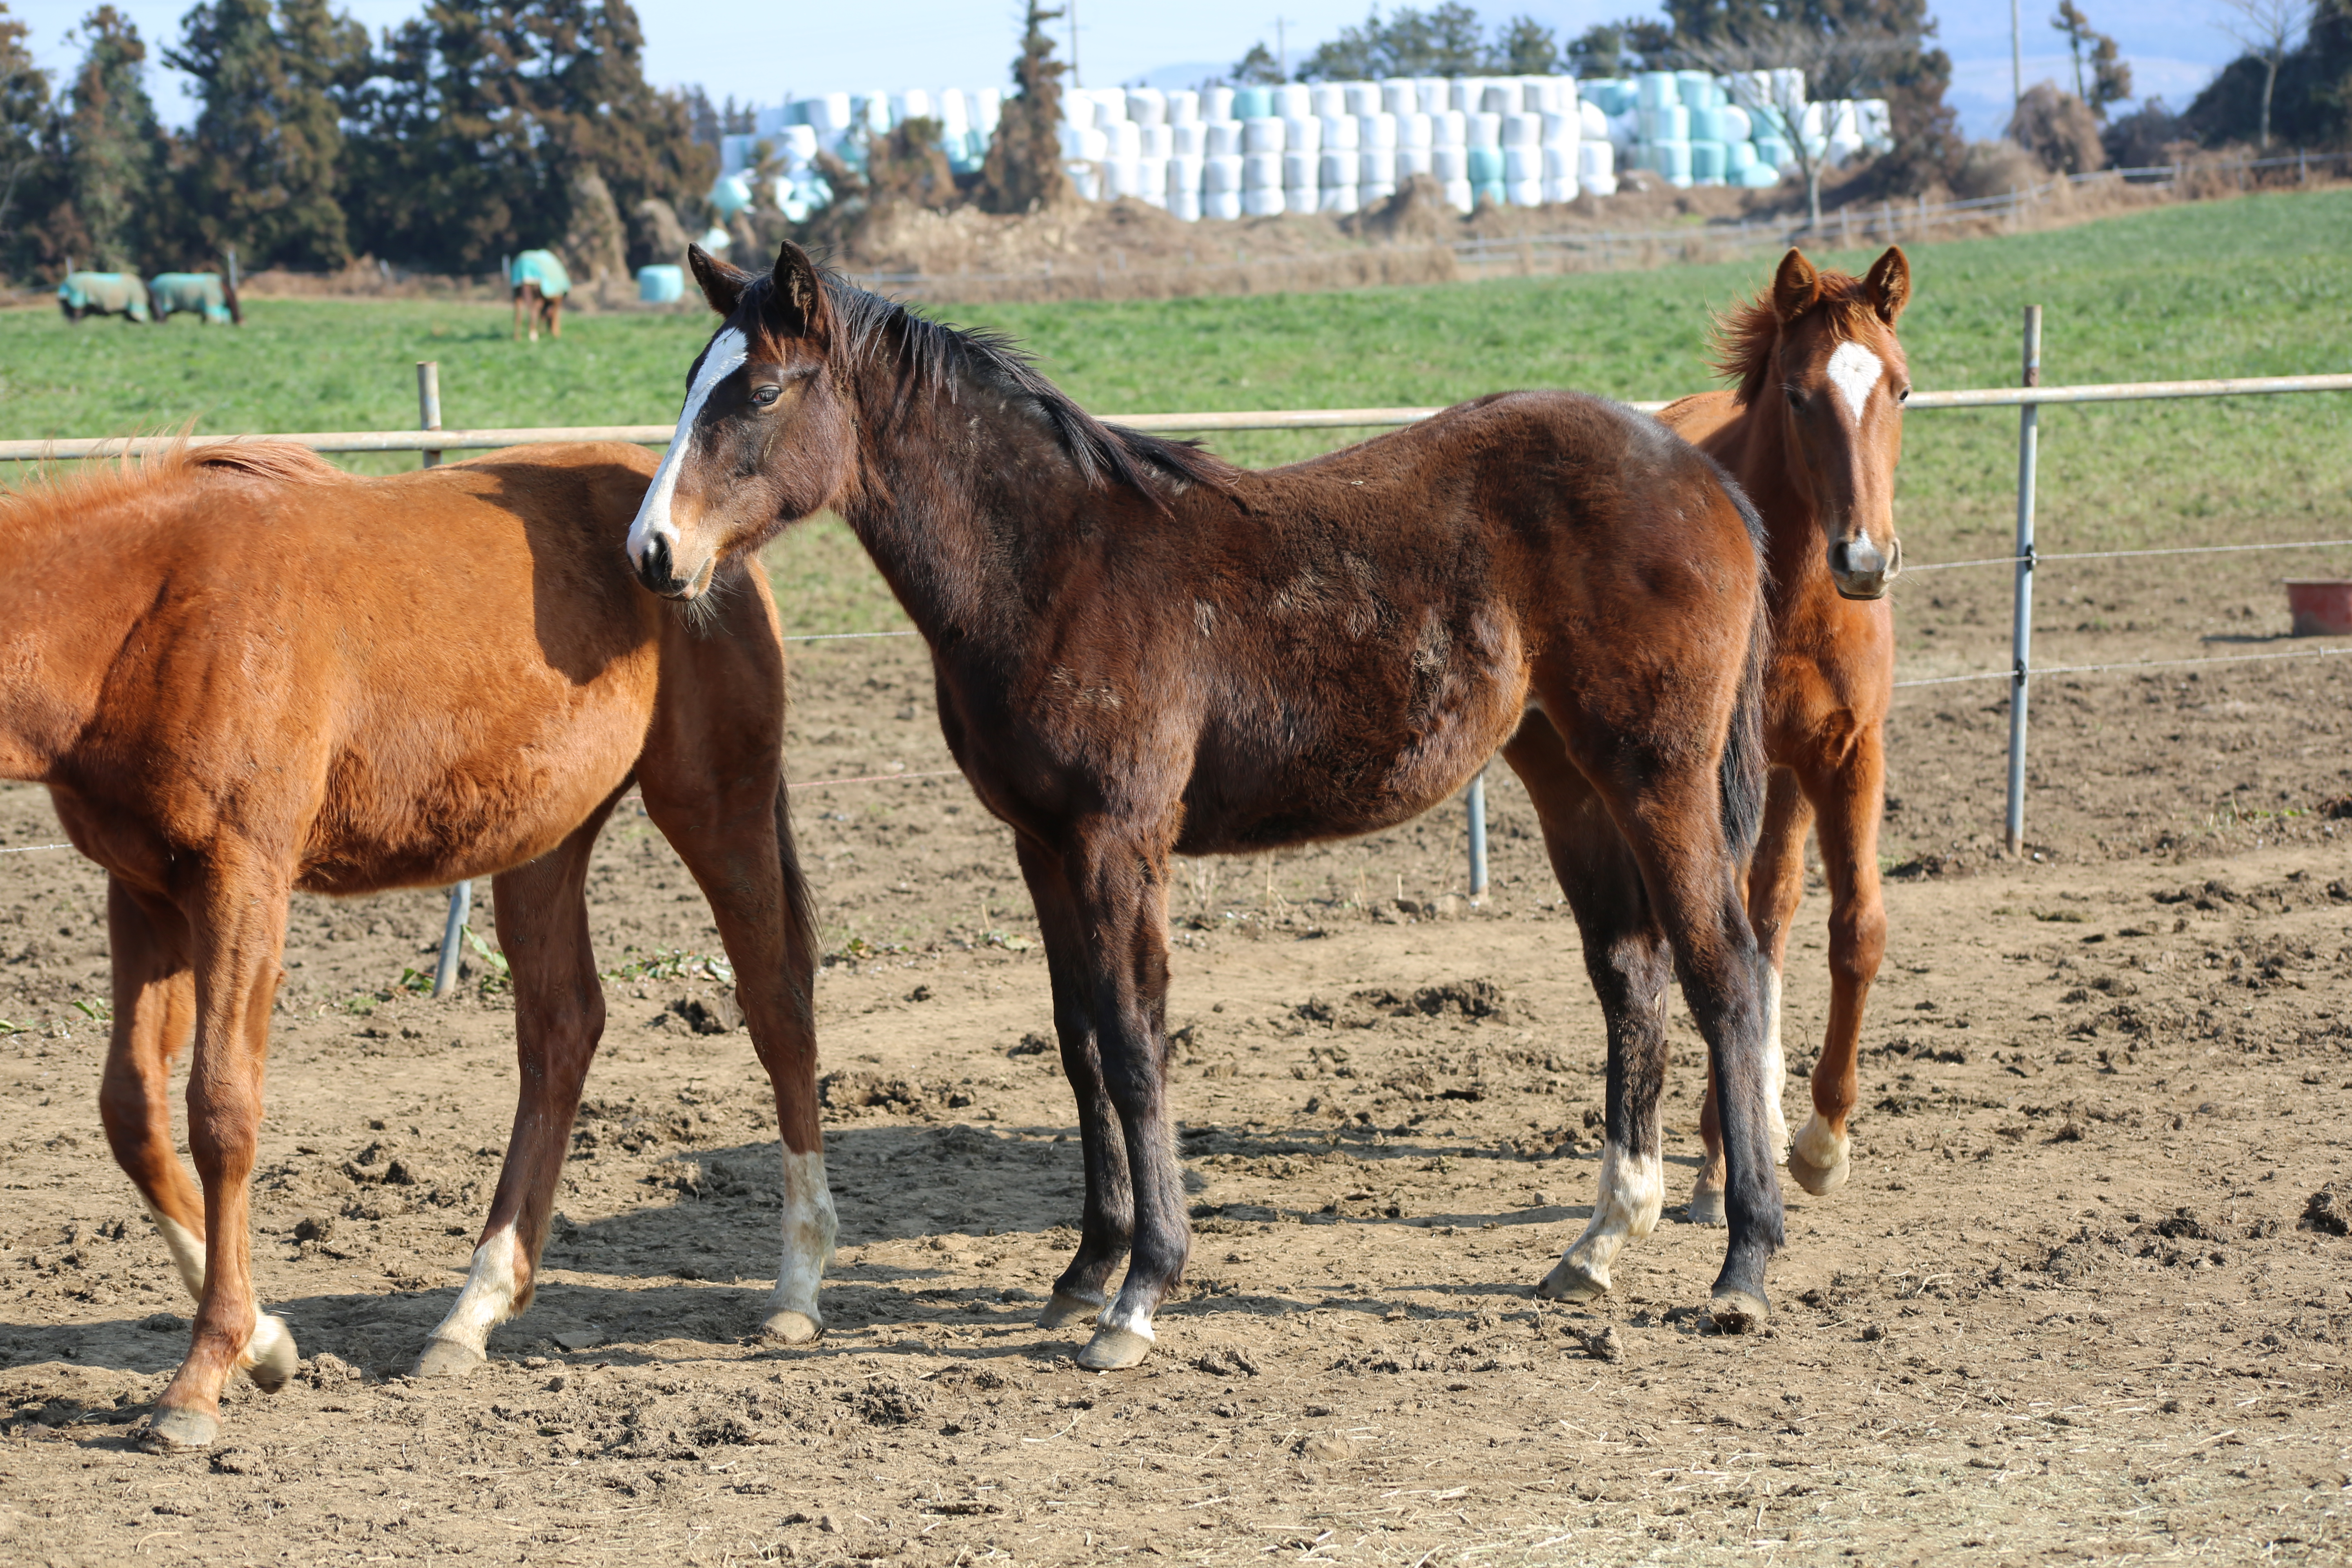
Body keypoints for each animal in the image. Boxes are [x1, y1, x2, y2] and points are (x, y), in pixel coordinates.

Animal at [0, 439, 828, 1448]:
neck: (149, 610)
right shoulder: (145, 893)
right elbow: (132, 1112)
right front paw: (266, 1341)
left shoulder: (242, 881)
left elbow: (221, 1110)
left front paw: (203, 1375)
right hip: (544, 841)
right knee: (562, 1031)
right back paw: (472, 1313)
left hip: (717, 808)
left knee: (777, 1004)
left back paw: (796, 1288)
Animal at [510, 250, 569, 341]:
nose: (550, 331)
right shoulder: (557, 300)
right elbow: (554, 315)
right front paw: (556, 334)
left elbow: (542, 314)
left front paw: (543, 332)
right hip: (537, 296)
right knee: (533, 312)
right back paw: (534, 336)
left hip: (518, 293)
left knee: (518, 315)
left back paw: (518, 338)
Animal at [621, 236, 1778, 1373]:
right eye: (686, 386)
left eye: (762, 392)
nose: (651, 552)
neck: (1056, 566)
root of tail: (1707, 475)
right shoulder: (1041, 844)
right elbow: (1079, 1042)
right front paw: (1084, 1270)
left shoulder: (1117, 840)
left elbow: (1137, 1043)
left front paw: (1138, 1295)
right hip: (1567, 776)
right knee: (1630, 973)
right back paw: (1597, 1246)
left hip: (1658, 773)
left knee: (1726, 969)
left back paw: (1744, 1265)